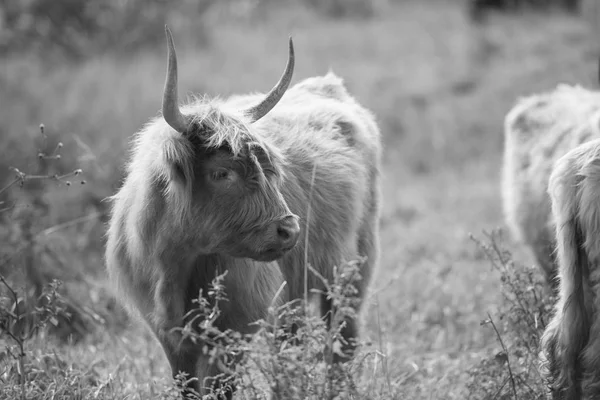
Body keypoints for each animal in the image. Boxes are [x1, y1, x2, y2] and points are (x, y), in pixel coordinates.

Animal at [105, 27, 382, 396]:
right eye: (222, 173)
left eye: (269, 168)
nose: (290, 231)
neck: (177, 265)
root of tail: (329, 84)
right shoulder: (168, 336)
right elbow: (188, 386)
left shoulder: (234, 330)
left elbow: (221, 388)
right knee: (291, 348)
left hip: (353, 267)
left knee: (341, 340)